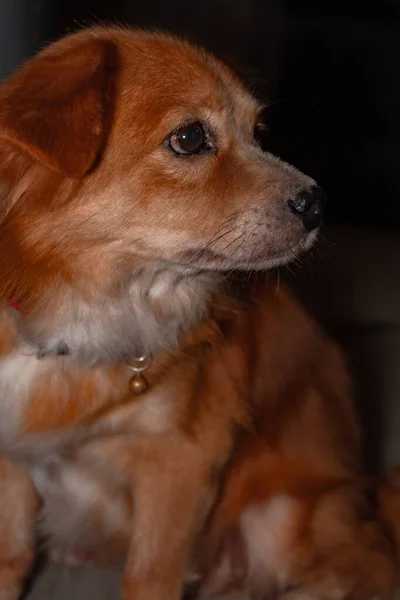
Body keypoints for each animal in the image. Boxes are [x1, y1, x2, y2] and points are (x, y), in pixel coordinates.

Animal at [0, 24, 396, 600]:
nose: (319, 204)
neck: (84, 312)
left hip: (283, 520)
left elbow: (148, 576)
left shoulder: (180, 457)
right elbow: (10, 557)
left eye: (257, 131)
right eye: (189, 138)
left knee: (362, 565)